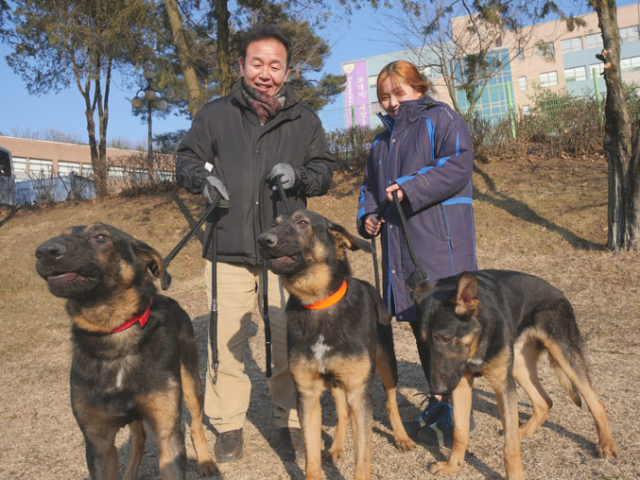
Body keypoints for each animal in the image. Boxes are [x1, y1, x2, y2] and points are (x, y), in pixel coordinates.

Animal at [35, 224, 220, 480]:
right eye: (63, 234)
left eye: (101, 236)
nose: (43, 252)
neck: (114, 331)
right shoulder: (99, 442)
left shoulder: (166, 431)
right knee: (139, 439)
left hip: (191, 383)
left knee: (195, 423)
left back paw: (205, 461)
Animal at [258, 210, 418, 480]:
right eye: (274, 223)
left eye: (303, 222)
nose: (261, 240)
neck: (318, 303)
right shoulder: (308, 394)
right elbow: (311, 459)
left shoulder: (358, 392)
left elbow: (362, 461)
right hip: (335, 382)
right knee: (343, 414)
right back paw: (335, 447)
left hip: (387, 362)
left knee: (391, 400)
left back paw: (402, 437)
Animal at [408, 270, 616, 480]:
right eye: (423, 342)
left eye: (445, 338)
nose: (438, 390)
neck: (479, 334)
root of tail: (559, 292)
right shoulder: (461, 383)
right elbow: (460, 432)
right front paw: (453, 465)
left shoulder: (502, 385)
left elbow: (510, 447)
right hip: (519, 365)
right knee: (544, 402)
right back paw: (522, 430)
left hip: (563, 355)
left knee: (595, 402)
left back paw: (606, 445)